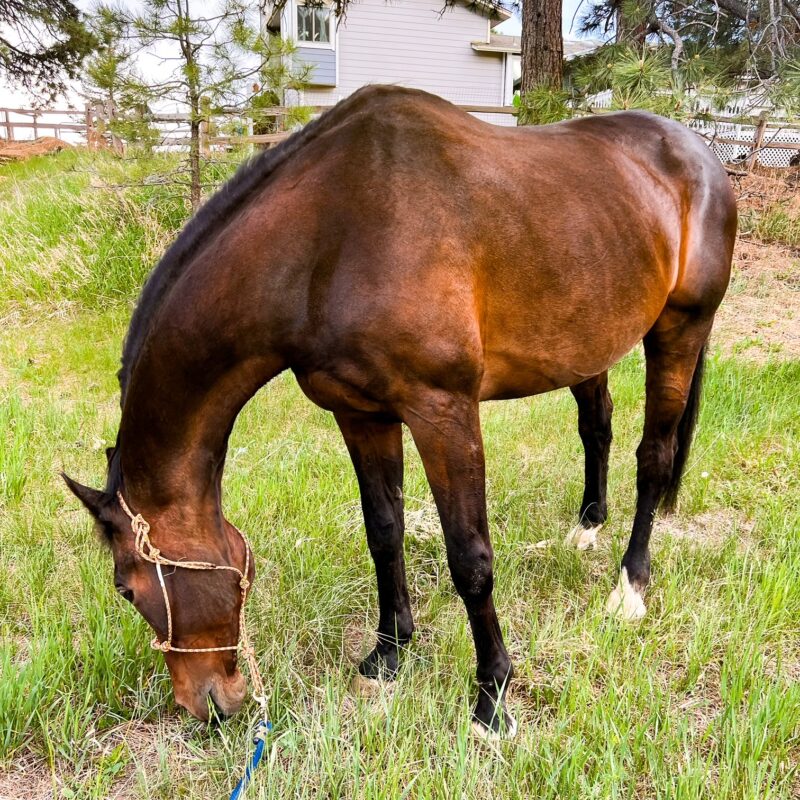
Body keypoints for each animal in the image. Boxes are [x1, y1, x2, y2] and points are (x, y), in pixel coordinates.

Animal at [64, 85, 736, 738]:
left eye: (127, 589)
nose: (207, 705)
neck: (328, 238)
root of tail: (699, 152)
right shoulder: (362, 414)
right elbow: (383, 531)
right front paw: (389, 650)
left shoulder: (444, 413)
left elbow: (471, 559)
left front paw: (492, 697)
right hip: (583, 341)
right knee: (597, 427)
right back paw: (587, 528)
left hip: (679, 329)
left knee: (654, 458)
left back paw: (631, 587)